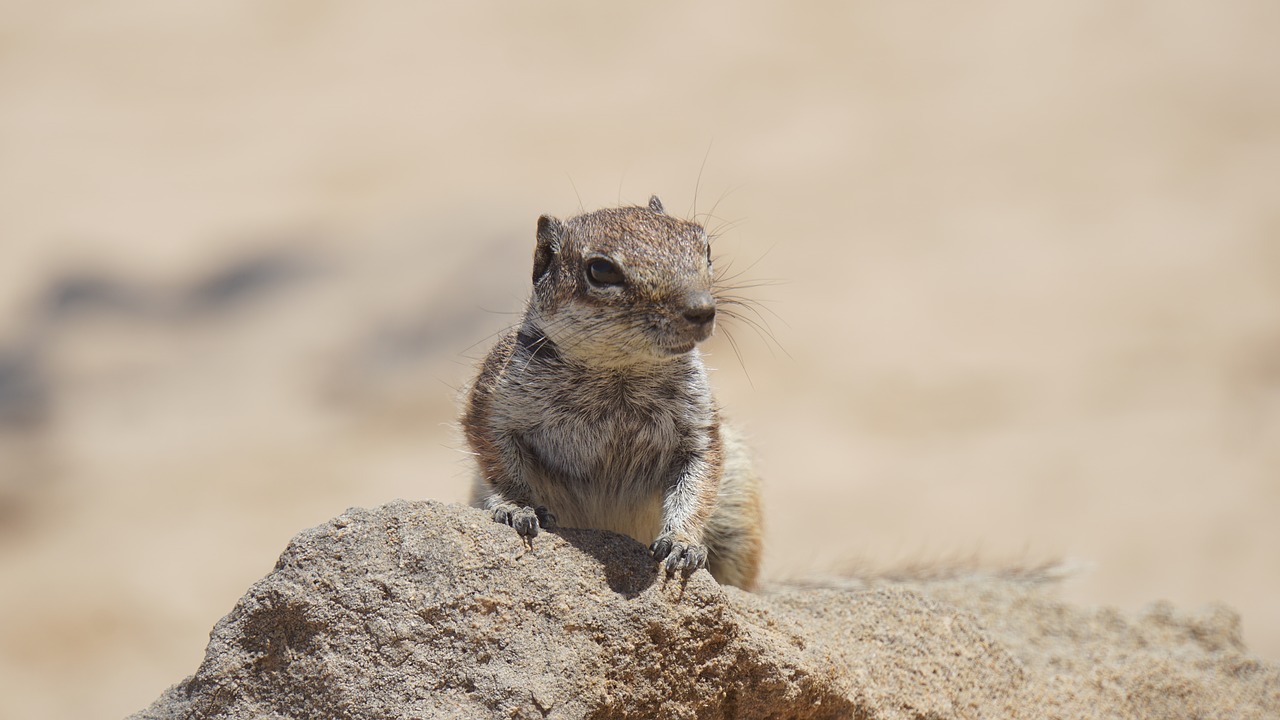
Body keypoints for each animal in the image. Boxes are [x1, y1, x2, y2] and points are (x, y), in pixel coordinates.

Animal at [460, 196, 757, 589]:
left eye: (704, 246)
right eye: (601, 270)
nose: (702, 309)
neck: (620, 373)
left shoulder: (699, 426)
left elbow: (699, 479)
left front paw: (681, 541)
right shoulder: (493, 401)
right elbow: (499, 461)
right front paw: (517, 506)